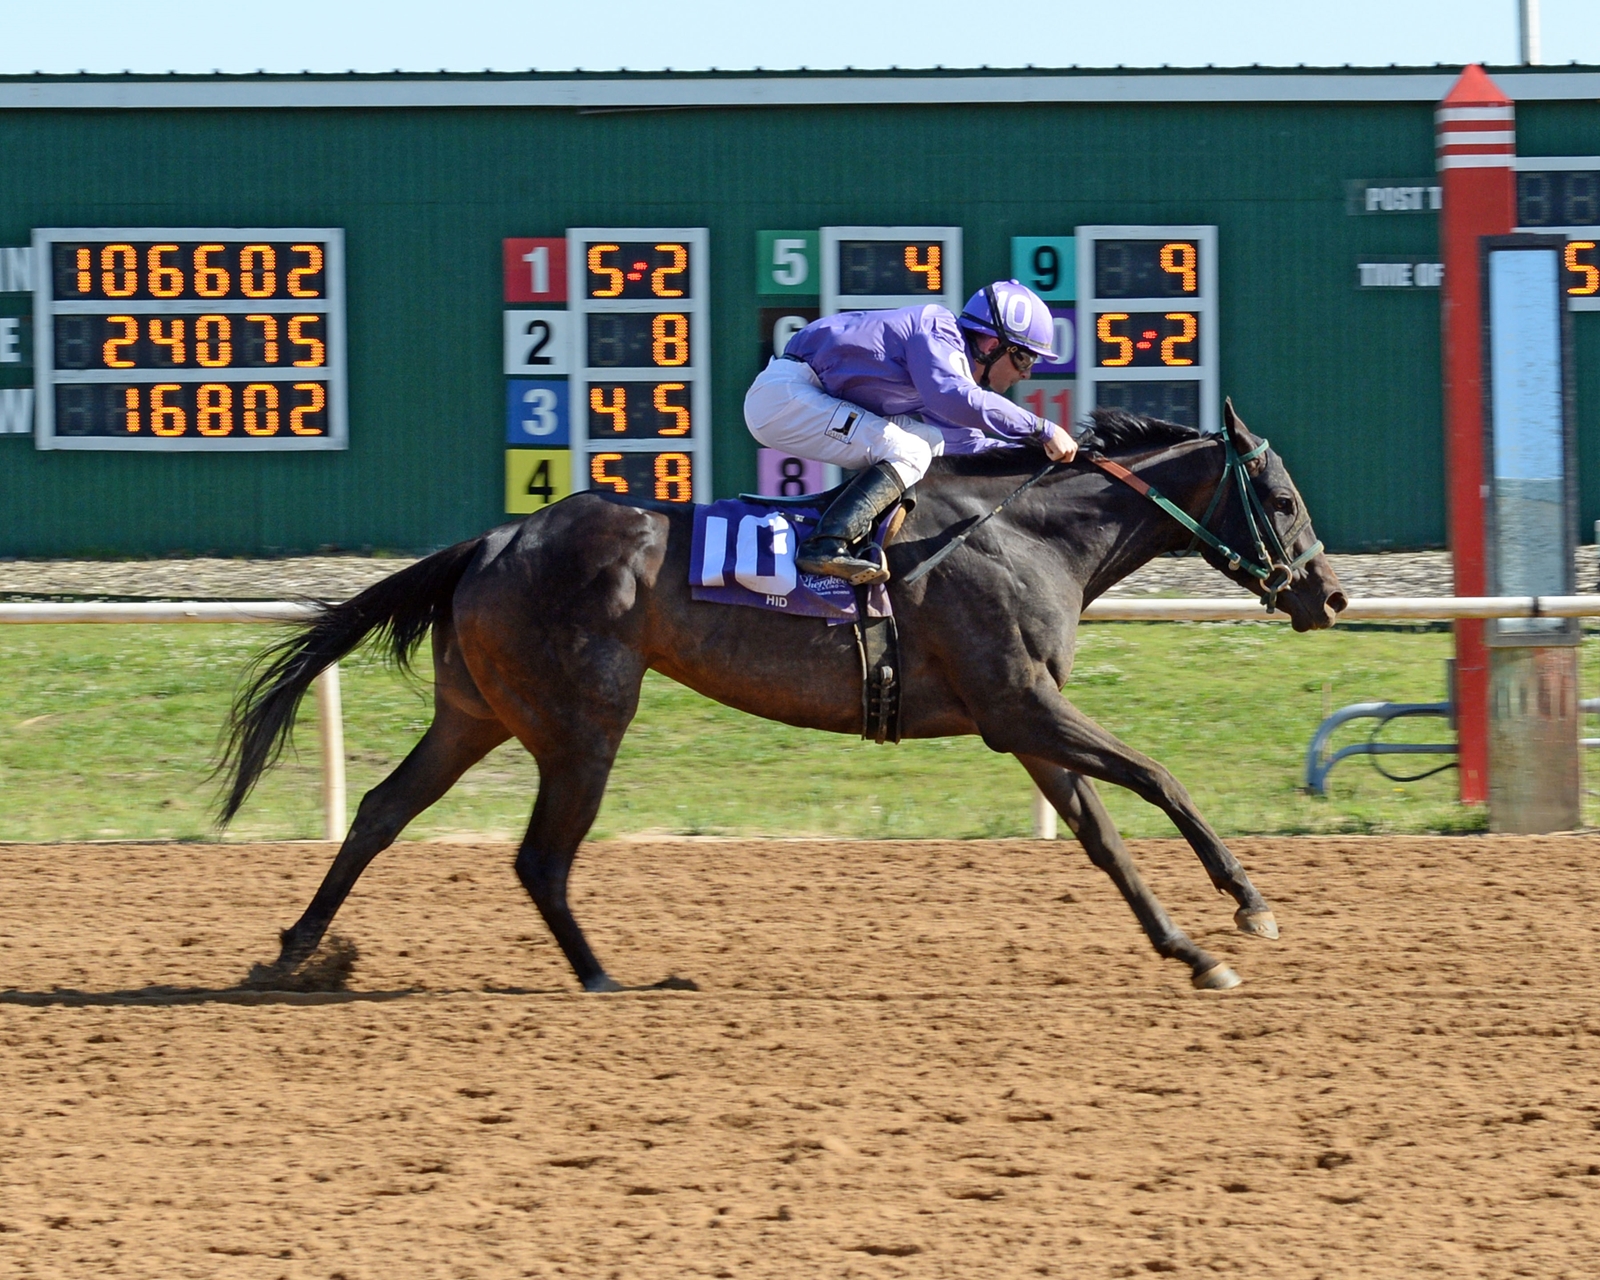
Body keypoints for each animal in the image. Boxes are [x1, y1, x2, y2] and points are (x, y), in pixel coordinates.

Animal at [225, 400, 1344, 992]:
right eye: (1284, 498)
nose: (1328, 594)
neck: (1027, 533)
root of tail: (495, 540)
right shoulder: (1019, 706)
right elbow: (1159, 776)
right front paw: (1248, 905)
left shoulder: (1022, 719)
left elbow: (1104, 836)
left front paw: (1189, 951)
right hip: (582, 722)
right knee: (540, 855)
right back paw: (602, 975)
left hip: (477, 711)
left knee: (381, 810)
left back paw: (293, 952)